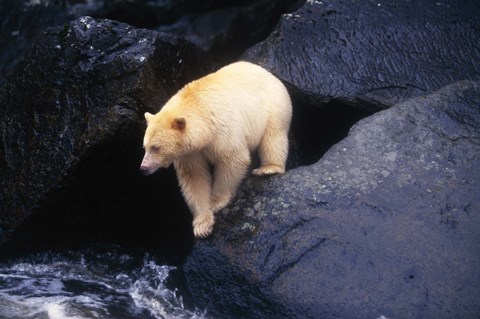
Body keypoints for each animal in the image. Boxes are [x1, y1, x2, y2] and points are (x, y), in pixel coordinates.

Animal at [140, 62, 292, 238]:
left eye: (156, 147)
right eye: (144, 147)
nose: (143, 168)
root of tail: (268, 73)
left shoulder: (222, 130)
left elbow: (232, 159)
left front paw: (215, 202)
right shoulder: (189, 152)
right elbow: (194, 177)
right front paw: (202, 224)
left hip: (274, 106)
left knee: (273, 135)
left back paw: (268, 168)